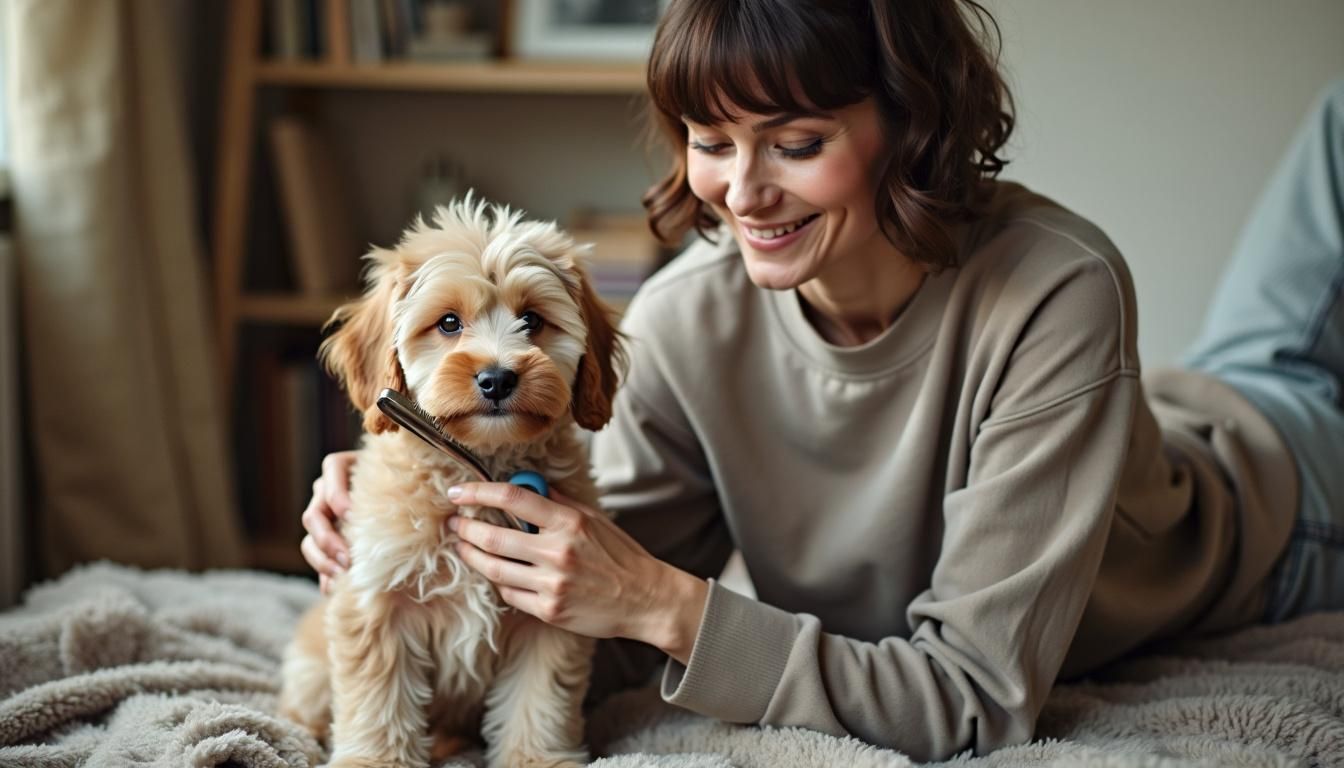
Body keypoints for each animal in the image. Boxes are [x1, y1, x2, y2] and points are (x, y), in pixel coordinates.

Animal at [276, 196, 628, 768]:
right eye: (447, 323)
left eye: (532, 320)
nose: (497, 378)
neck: (479, 467)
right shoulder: (376, 597)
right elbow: (379, 696)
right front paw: (375, 761)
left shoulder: (546, 611)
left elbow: (538, 700)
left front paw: (534, 758)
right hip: (311, 657)